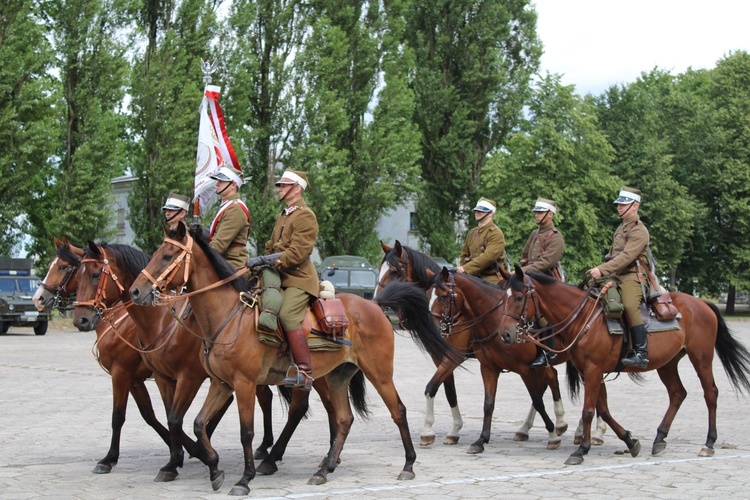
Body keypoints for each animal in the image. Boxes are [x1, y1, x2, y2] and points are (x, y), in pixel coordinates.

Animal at [32, 238, 172, 472]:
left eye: (63, 267)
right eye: (78, 274)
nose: (38, 299)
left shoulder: (121, 374)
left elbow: (118, 416)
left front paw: (109, 458)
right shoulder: (134, 379)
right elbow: (149, 415)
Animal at [126, 224, 462, 496]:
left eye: (168, 256)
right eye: (157, 252)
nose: (136, 291)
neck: (227, 318)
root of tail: (375, 304)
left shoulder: (243, 384)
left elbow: (246, 432)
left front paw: (244, 479)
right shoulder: (220, 384)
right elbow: (197, 424)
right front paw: (214, 467)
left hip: (378, 373)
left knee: (398, 411)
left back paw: (408, 465)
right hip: (336, 377)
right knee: (343, 419)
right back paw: (323, 469)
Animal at [496, 268, 750, 466]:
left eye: (518, 297)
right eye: (503, 297)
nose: (505, 334)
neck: (584, 318)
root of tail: (701, 303)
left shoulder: (593, 370)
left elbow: (588, 411)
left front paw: (581, 450)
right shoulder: (589, 372)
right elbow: (604, 410)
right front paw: (630, 440)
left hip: (701, 358)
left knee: (710, 394)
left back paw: (709, 443)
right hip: (668, 363)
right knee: (678, 393)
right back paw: (659, 439)